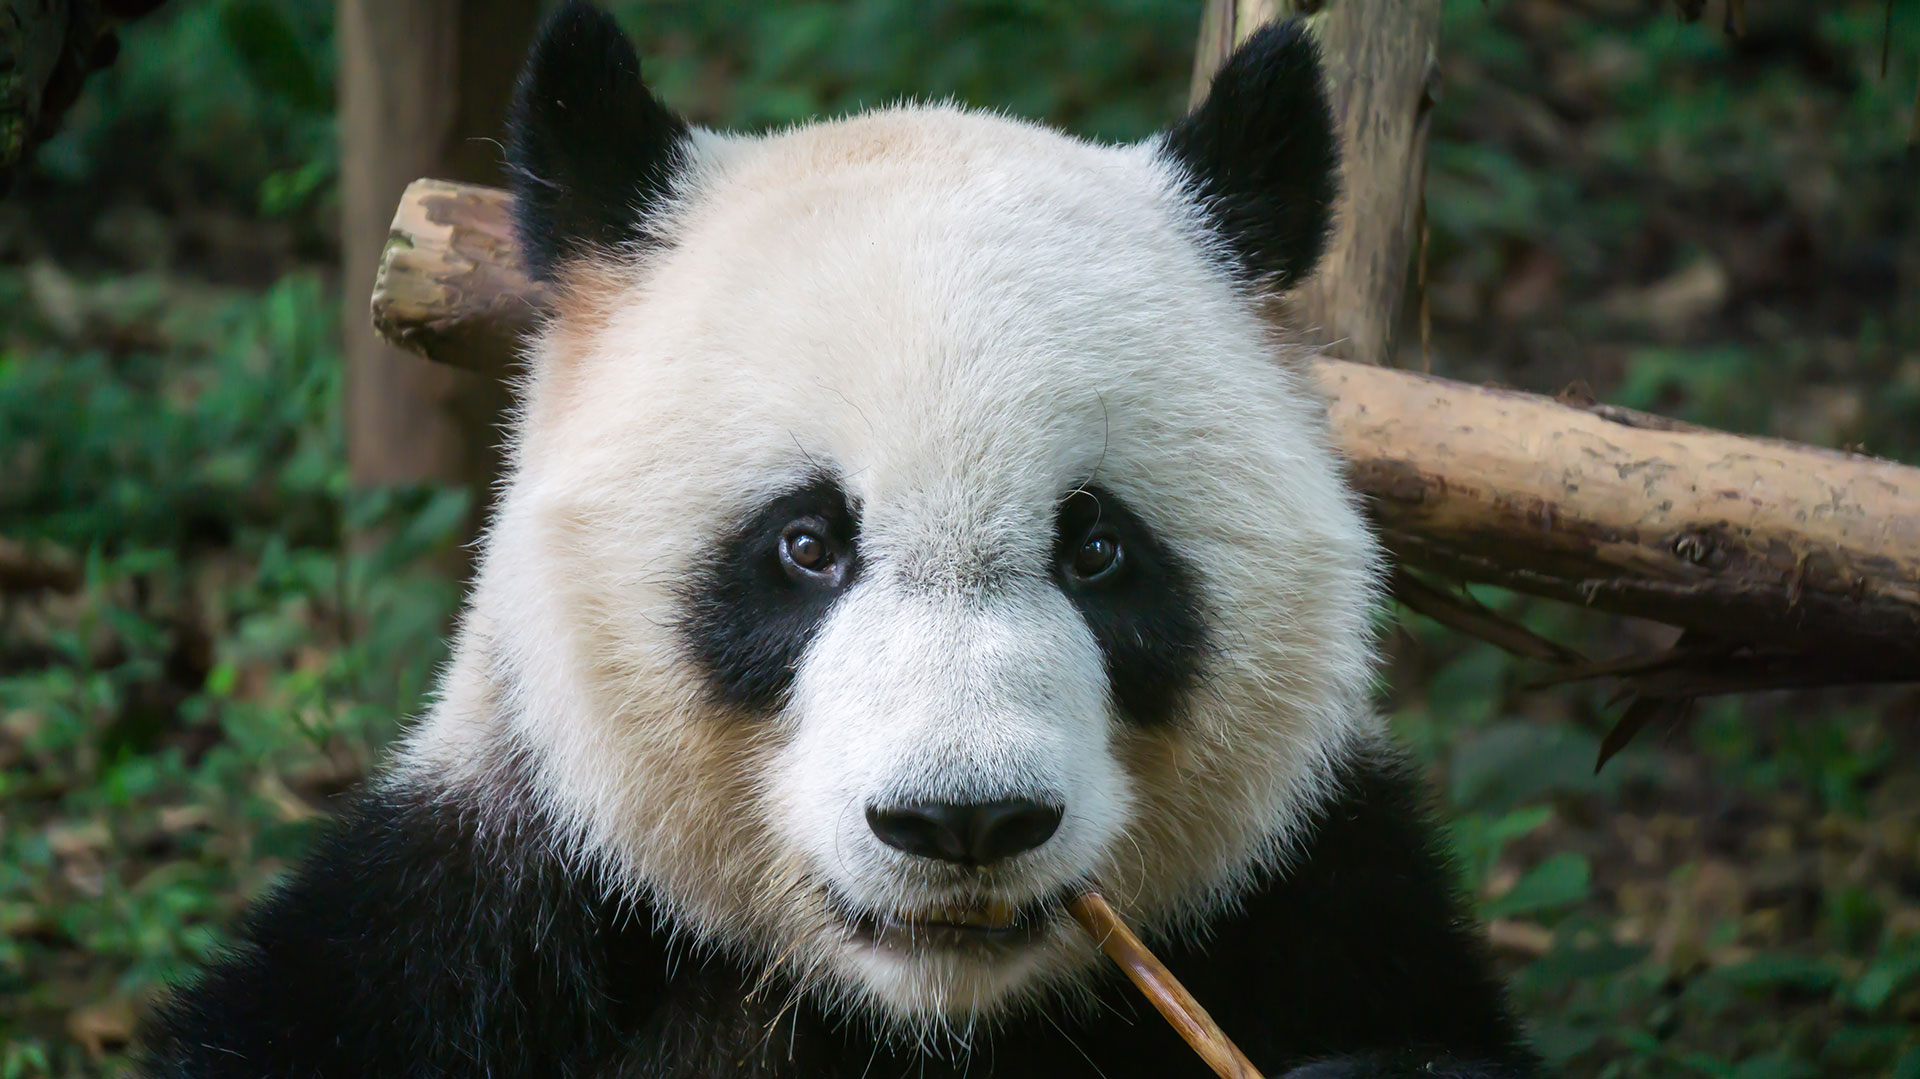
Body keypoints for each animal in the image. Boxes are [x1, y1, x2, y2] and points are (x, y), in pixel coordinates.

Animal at [142, 4, 1536, 1067]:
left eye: (1096, 549)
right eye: (807, 544)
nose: (964, 819)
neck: (916, 1015)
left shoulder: (1314, 901)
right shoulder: (482, 919)